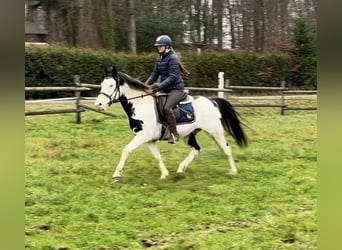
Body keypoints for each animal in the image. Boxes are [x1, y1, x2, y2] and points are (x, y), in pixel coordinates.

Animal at [95, 65, 247, 181]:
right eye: (102, 85)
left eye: (111, 85)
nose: (98, 105)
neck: (140, 104)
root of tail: (212, 101)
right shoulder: (149, 139)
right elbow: (157, 156)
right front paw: (164, 175)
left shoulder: (143, 136)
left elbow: (126, 150)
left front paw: (116, 175)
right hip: (189, 135)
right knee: (196, 150)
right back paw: (181, 169)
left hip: (215, 132)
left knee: (226, 149)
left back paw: (233, 171)